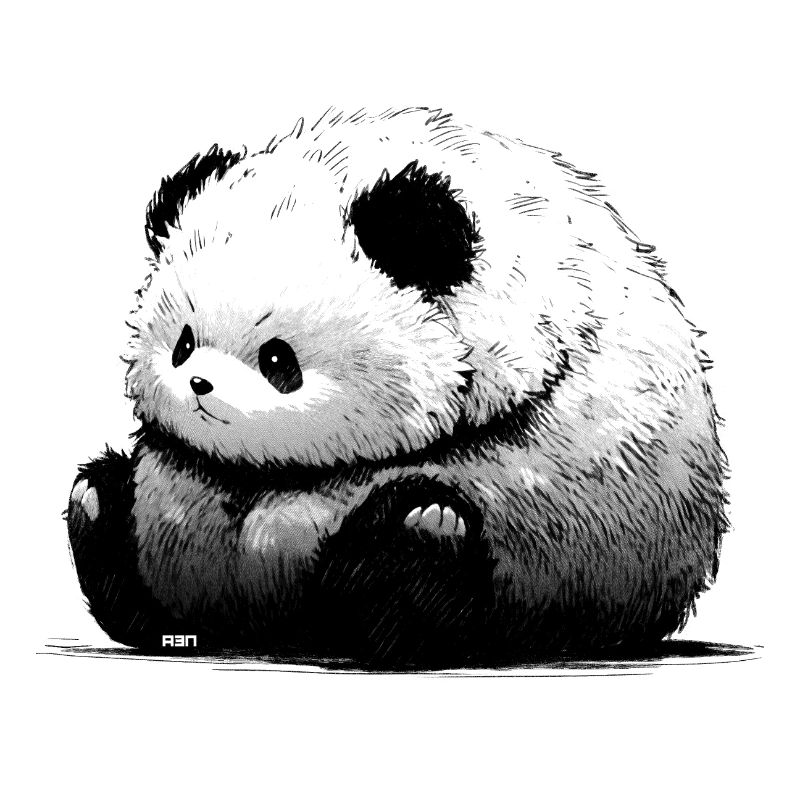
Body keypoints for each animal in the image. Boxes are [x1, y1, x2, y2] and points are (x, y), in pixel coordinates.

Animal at [67, 106, 727, 667]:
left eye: (278, 358)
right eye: (182, 342)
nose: (200, 384)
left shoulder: (559, 461)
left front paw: (413, 542)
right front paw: (101, 504)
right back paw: (97, 509)